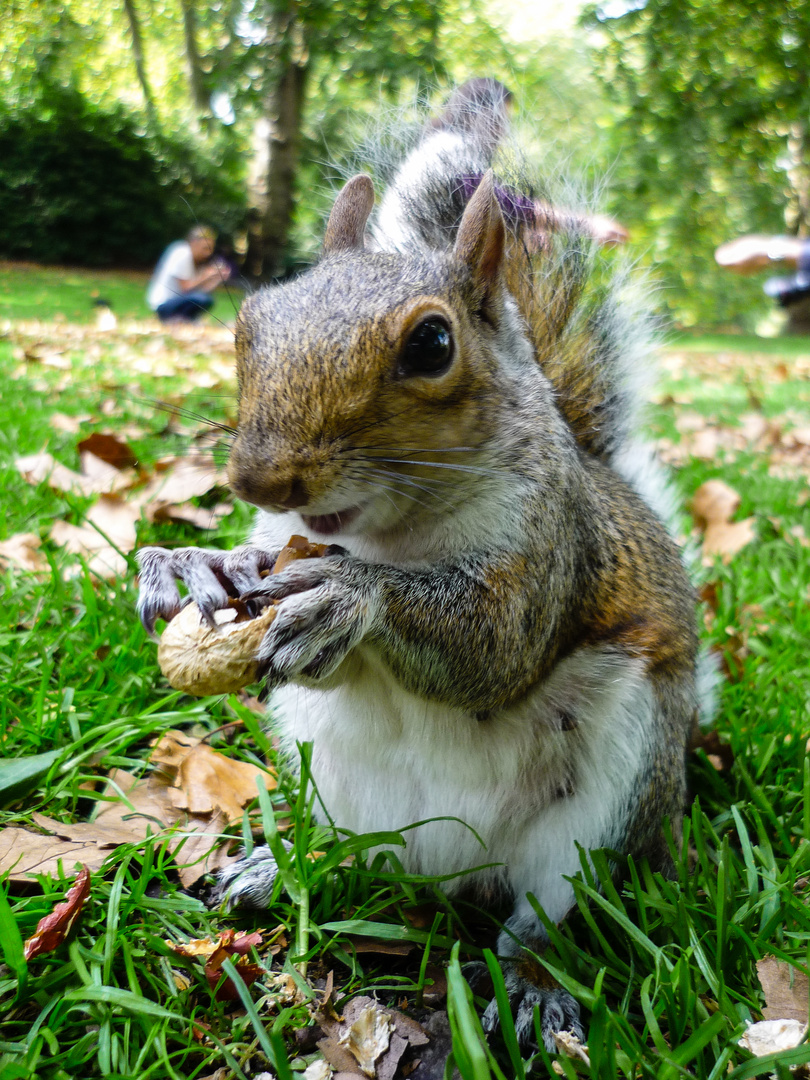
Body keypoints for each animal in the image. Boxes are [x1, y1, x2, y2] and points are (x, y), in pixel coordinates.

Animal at [139, 79, 717, 1049]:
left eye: (433, 346)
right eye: (251, 322)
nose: (259, 475)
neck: (392, 534)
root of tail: (447, 868)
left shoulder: (548, 548)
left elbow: (493, 648)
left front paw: (348, 596)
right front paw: (191, 563)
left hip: (616, 783)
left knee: (550, 910)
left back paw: (532, 983)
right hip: (330, 772)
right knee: (348, 855)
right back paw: (272, 869)